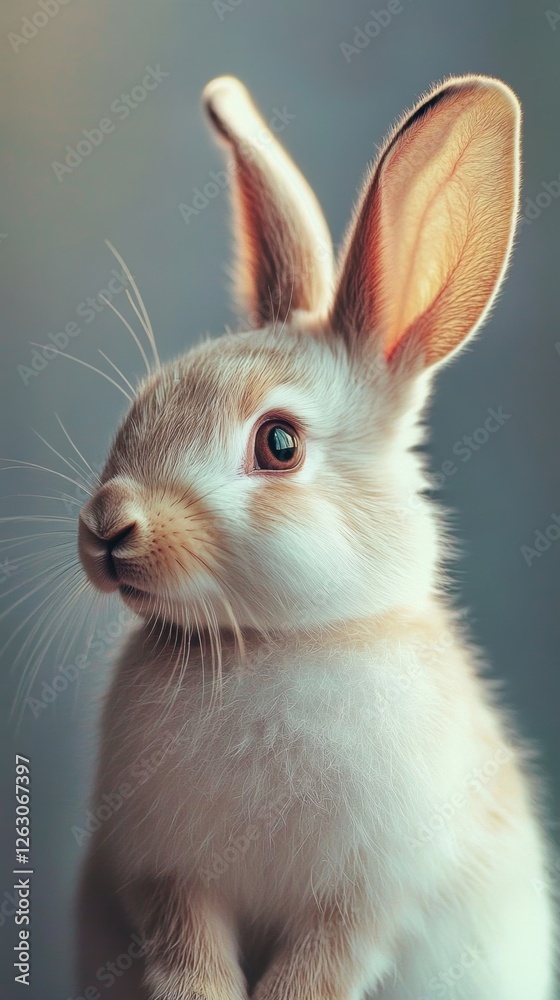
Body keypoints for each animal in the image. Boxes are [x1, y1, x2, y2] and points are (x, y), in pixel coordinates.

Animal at [76, 74, 556, 999]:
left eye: (279, 444)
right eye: (146, 399)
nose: (109, 526)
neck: (273, 641)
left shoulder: (368, 897)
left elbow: (320, 966)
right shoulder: (166, 878)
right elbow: (188, 951)